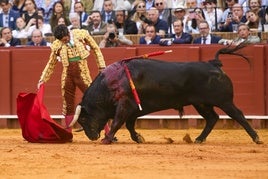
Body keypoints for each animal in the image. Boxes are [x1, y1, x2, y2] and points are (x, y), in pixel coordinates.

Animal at [71, 48, 262, 144]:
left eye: (84, 119)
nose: (92, 137)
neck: (111, 84)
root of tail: (213, 63)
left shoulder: (125, 106)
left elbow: (118, 122)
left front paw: (107, 139)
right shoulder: (133, 110)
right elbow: (130, 125)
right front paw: (138, 138)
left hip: (224, 101)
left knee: (238, 115)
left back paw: (256, 138)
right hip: (201, 103)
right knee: (212, 118)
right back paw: (199, 139)